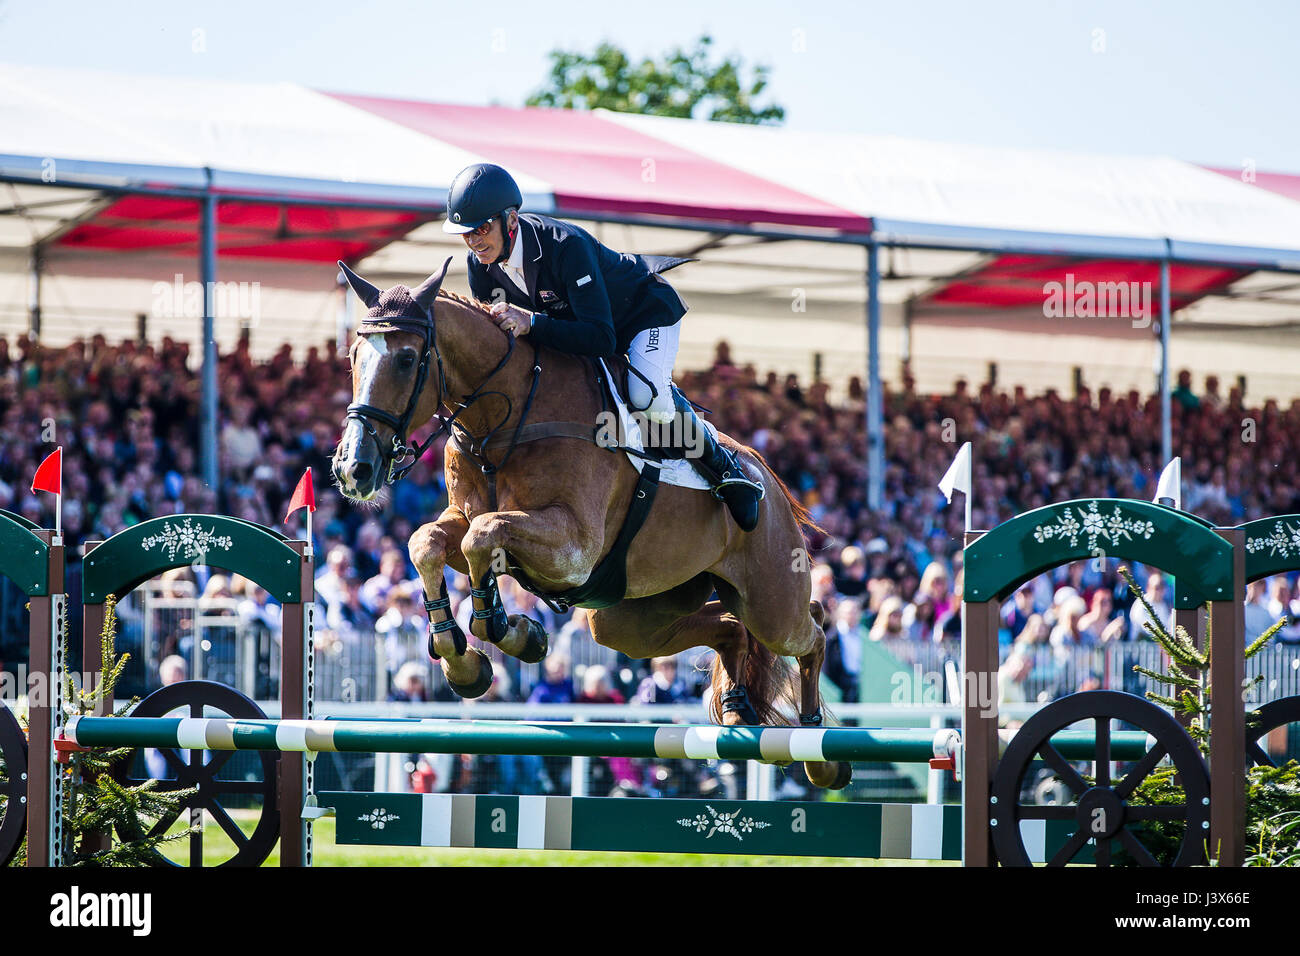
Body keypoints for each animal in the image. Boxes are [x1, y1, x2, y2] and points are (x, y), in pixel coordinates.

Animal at [330, 257, 847, 790]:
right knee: (729, 628)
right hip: (628, 619)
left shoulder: (572, 548)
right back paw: (739, 708)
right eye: (353, 356)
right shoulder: (467, 518)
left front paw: (505, 629)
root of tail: (769, 480)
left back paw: (821, 751)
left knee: (811, 631)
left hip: (769, 602)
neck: (504, 416)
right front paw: (466, 660)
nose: (354, 469)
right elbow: (427, 541)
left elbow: (483, 537)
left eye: (406, 359)